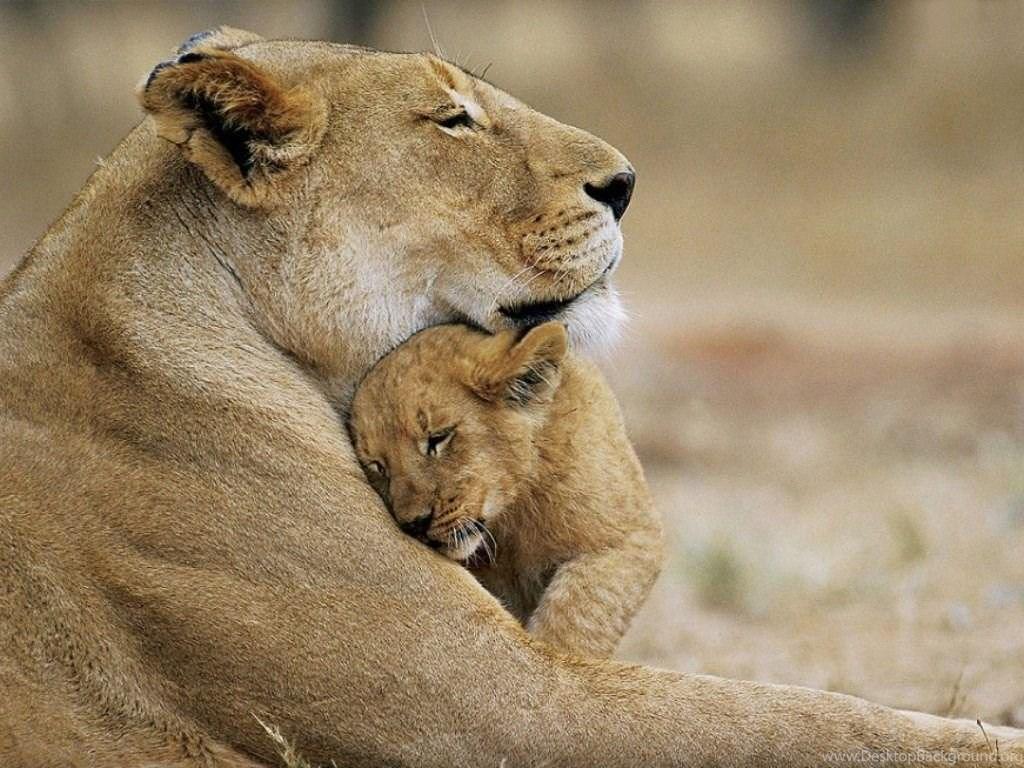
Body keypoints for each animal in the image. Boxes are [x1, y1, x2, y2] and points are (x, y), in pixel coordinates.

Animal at [348, 321, 663, 658]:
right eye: (378, 466)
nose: (414, 524)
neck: (511, 517)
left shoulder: (631, 537)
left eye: (438, 438)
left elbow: (577, 615)